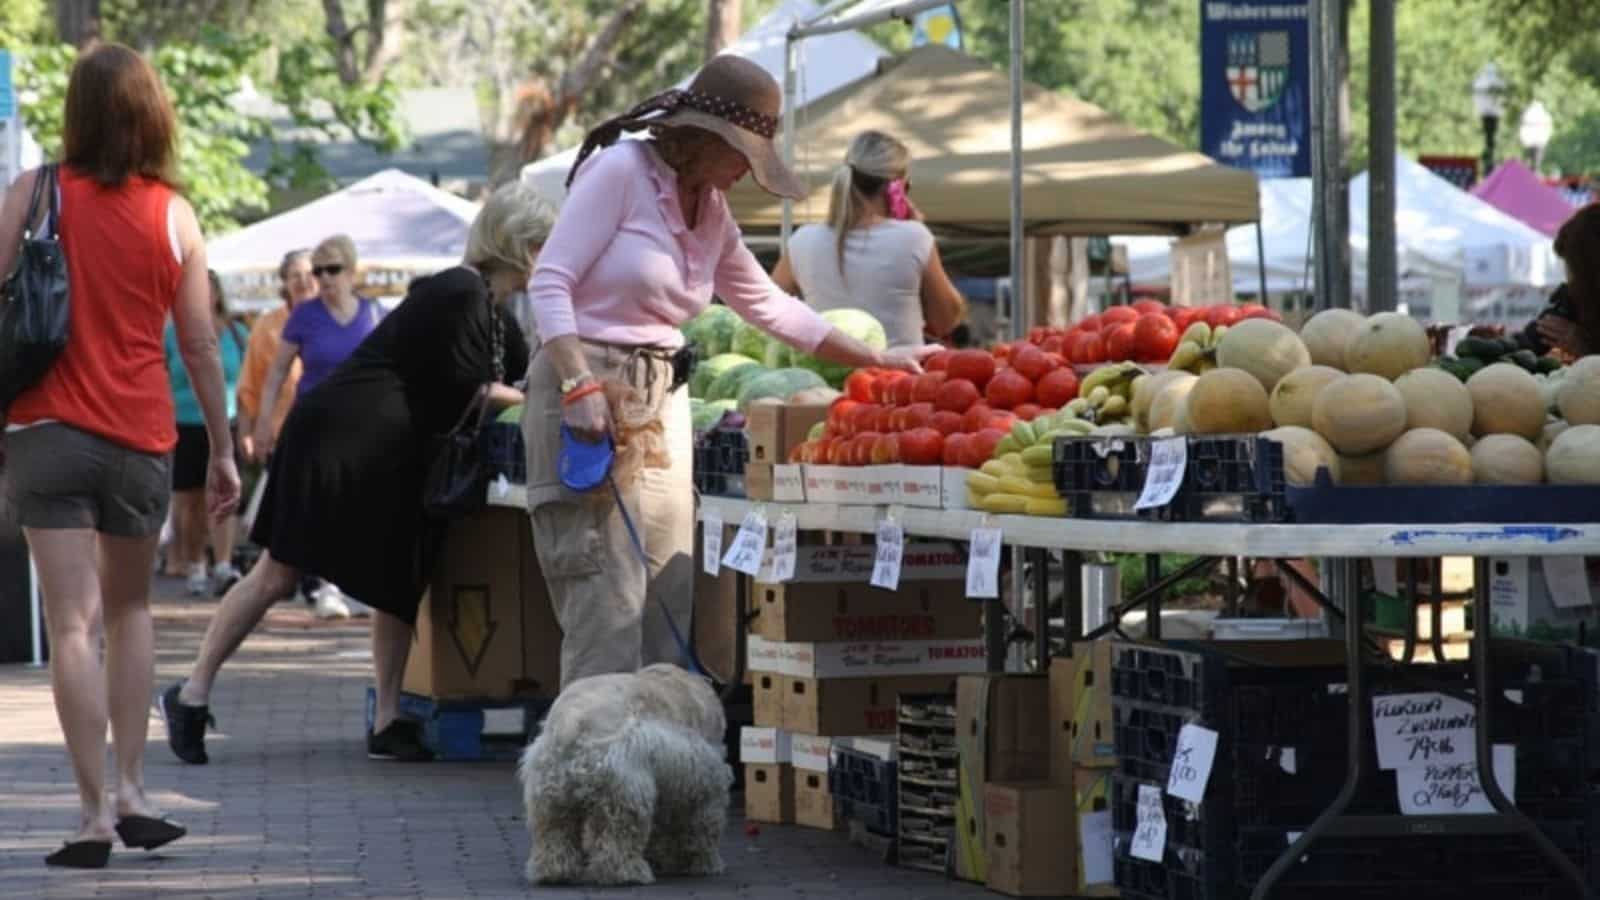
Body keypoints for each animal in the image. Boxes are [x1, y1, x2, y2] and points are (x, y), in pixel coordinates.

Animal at [518, 659, 732, 883]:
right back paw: (629, 874)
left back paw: (552, 871)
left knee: (554, 833)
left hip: (550, 798)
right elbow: (702, 826)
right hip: (625, 794)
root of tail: (571, 722)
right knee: (618, 839)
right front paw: (705, 863)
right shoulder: (705, 783)